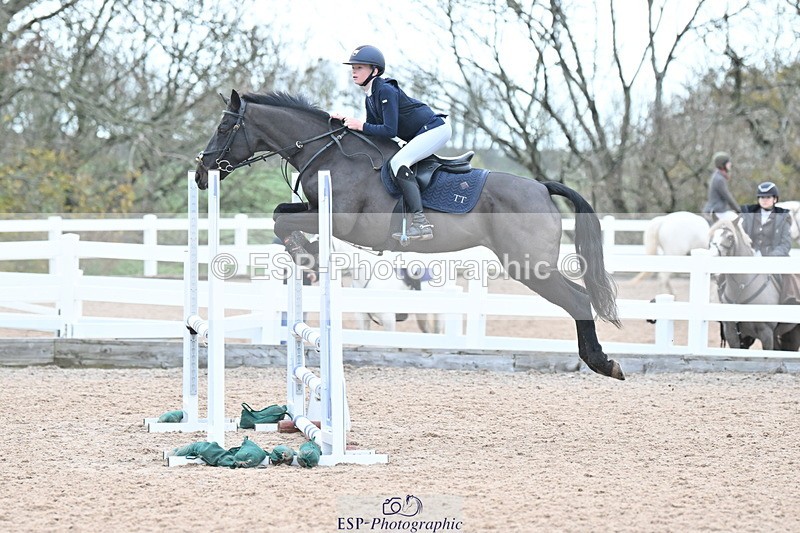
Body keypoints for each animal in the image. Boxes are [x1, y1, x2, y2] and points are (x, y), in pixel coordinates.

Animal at [195, 90, 624, 380]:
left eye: (223, 127)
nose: (201, 173)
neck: (329, 153)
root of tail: (541, 187)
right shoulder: (314, 211)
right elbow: (280, 215)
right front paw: (306, 253)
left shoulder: (341, 221)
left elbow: (283, 221)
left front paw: (307, 253)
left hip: (529, 264)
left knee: (578, 298)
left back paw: (603, 363)